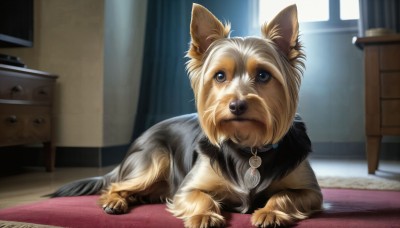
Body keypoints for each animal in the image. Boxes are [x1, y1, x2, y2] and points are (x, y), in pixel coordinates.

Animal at [50, 4, 324, 228]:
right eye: (220, 76)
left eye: (264, 75)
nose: (236, 105)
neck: (248, 145)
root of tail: (139, 139)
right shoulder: (186, 188)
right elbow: (199, 196)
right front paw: (204, 215)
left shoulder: (311, 192)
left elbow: (285, 195)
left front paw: (271, 212)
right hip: (155, 158)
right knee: (116, 185)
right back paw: (115, 201)